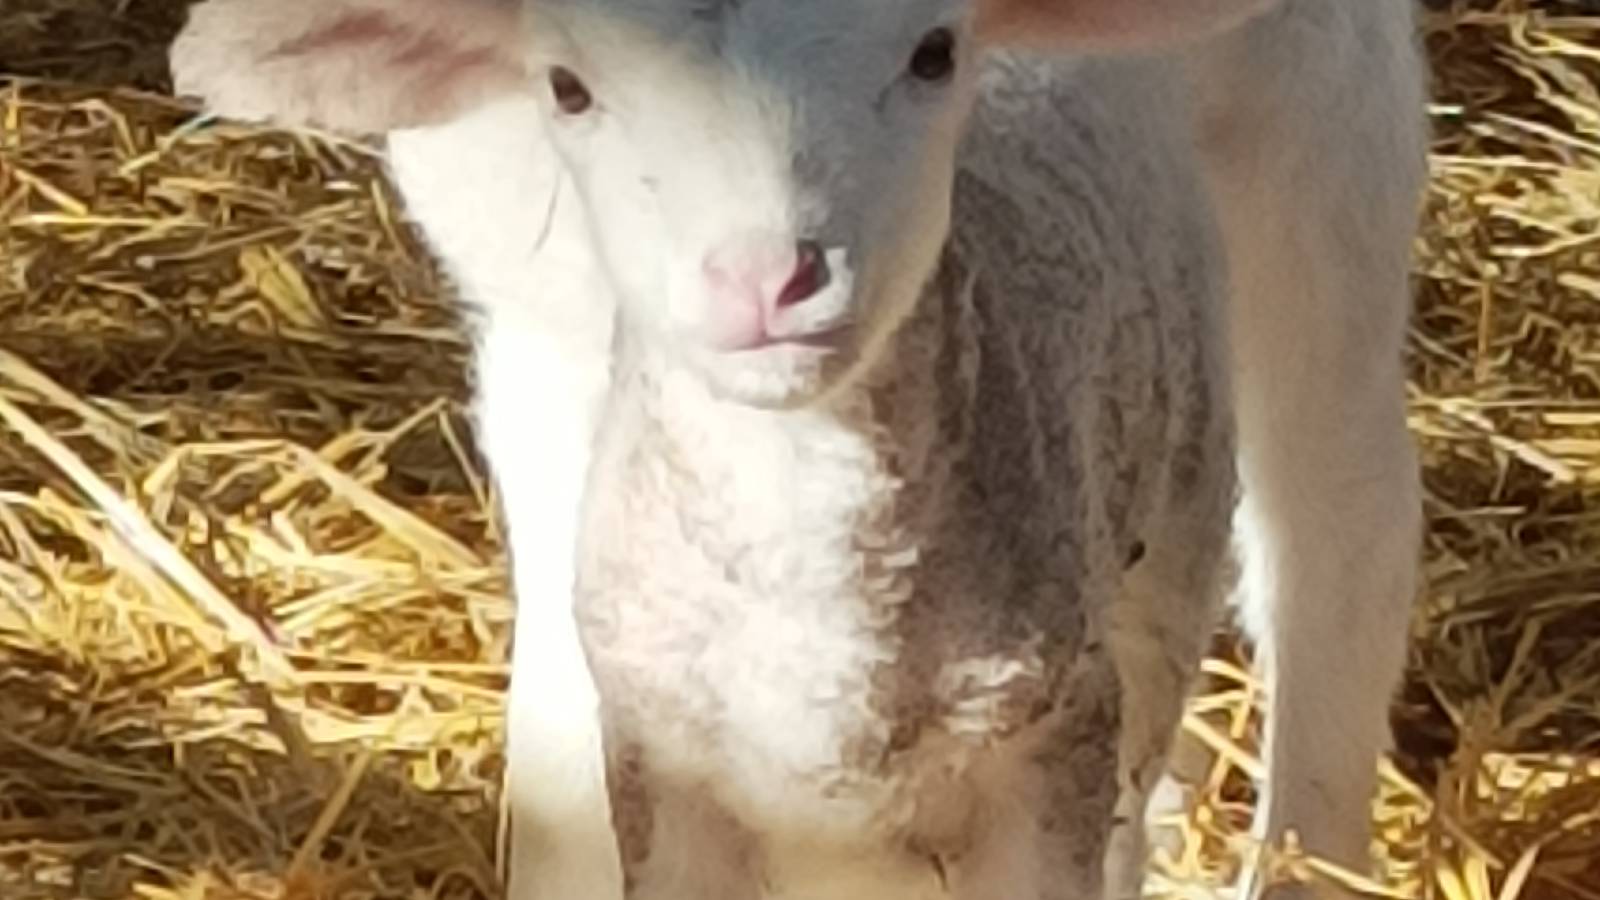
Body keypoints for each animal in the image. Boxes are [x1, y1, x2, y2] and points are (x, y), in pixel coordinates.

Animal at [167, 1, 1429, 898]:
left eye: (932, 53)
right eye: (573, 85)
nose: (770, 274)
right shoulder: (542, 346)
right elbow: (566, 724)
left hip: (1318, 145)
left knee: (1334, 543)